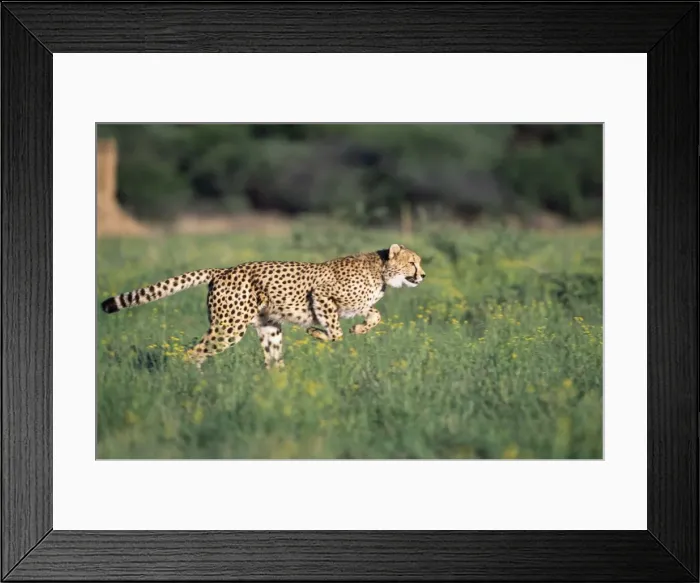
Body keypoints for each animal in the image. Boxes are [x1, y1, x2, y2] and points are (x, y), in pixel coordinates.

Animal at [101, 243, 426, 369]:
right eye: (413, 262)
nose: (423, 275)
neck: (381, 271)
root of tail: (223, 270)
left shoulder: (357, 304)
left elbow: (375, 314)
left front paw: (360, 328)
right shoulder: (322, 294)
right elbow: (334, 330)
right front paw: (319, 334)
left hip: (269, 327)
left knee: (272, 362)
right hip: (229, 326)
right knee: (193, 353)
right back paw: (191, 381)